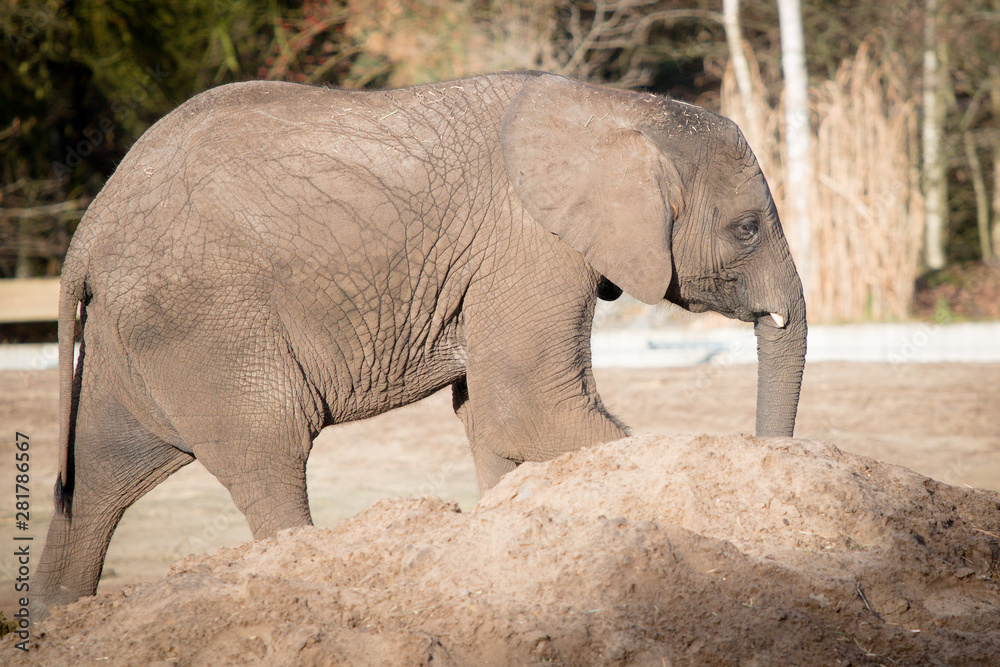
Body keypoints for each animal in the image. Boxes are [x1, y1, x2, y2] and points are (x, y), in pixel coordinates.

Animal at [36, 71, 806, 609]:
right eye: (746, 230)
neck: (620, 109)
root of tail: (90, 227)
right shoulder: (531, 242)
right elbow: (524, 406)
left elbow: (488, 418)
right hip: (203, 318)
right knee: (268, 449)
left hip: (134, 332)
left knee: (98, 477)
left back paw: (56, 619)